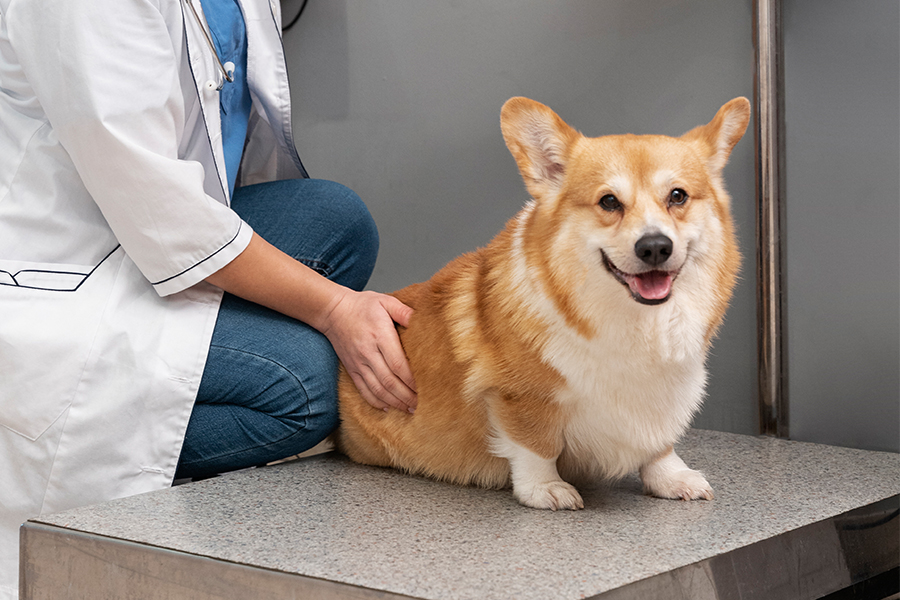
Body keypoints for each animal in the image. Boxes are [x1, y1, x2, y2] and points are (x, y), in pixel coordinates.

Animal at [334, 96, 748, 508]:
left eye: (678, 196)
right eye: (609, 201)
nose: (655, 247)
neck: (635, 320)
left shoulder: (664, 396)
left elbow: (659, 442)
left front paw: (671, 477)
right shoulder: (521, 396)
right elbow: (536, 444)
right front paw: (544, 488)